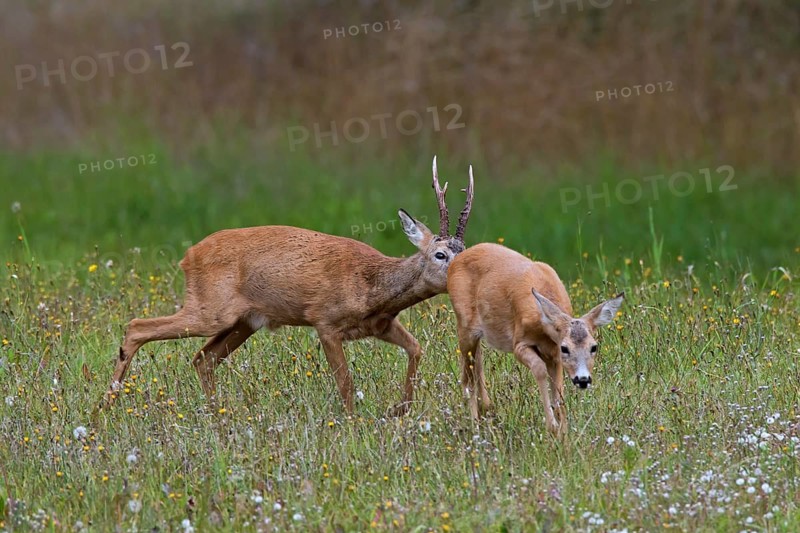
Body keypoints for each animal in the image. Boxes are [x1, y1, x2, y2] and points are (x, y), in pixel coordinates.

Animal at [105, 157, 474, 416]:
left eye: (465, 251)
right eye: (440, 254)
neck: (373, 288)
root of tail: (187, 256)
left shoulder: (381, 325)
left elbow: (416, 349)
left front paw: (400, 410)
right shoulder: (325, 321)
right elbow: (345, 383)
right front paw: (354, 425)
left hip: (244, 321)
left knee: (203, 360)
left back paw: (218, 417)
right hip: (210, 310)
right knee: (138, 326)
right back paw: (105, 408)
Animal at [446, 242, 623, 436]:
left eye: (594, 347)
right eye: (565, 348)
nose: (583, 379)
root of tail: (456, 260)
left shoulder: (553, 355)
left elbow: (558, 389)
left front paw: (563, 433)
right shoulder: (519, 343)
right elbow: (539, 369)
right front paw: (552, 426)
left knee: (476, 366)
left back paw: (484, 411)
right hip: (464, 326)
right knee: (467, 378)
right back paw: (474, 427)